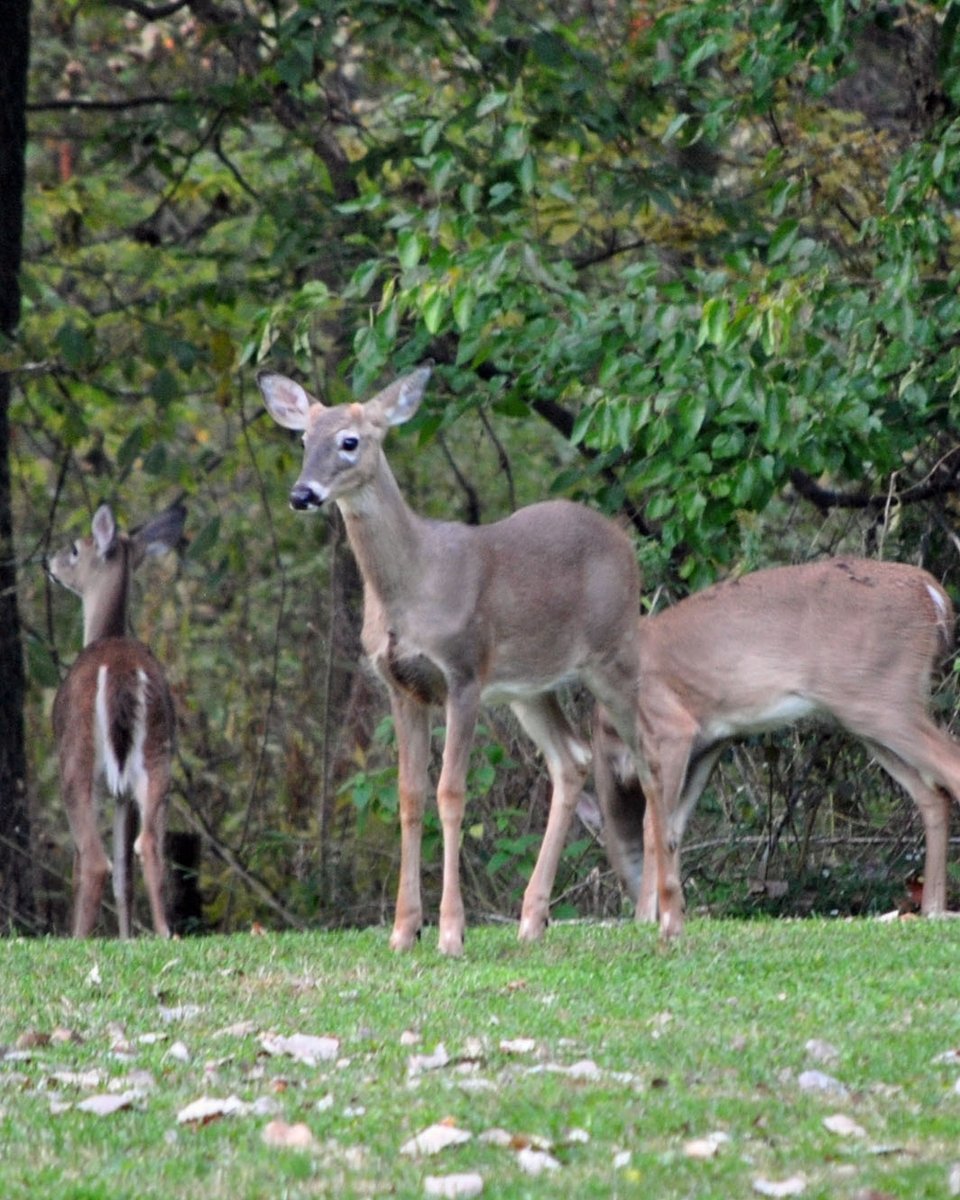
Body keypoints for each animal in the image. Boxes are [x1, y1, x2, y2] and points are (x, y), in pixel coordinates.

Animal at [48, 496, 186, 936]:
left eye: (76, 548)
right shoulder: (122, 794)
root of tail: (122, 674)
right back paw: (165, 934)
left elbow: (88, 866)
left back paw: (78, 938)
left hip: (77, 759)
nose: (49, 562)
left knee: (93, 860)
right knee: (149, 845)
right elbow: (125, 877)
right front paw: (127, 939)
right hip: (157, 754)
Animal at [254, 364, 676, 955]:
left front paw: (451, 931)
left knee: (647, 756)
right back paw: (532, 919)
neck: (412, 586)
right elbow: (409, 796)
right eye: (302, 439)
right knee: (572, 759)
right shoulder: (400, 685)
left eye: (350, 441)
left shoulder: (464, 673)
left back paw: (654, 913)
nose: (302, 493)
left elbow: (450, 792)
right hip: (531, 687)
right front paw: (403, 930)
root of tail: (626, 541)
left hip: (613, 655)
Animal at [592, 556, 960, 931]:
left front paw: (645, 917)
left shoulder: (673, 728)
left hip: (883, 697)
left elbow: (652, 825)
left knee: (951, 766)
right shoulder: (710, 742)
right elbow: (673, 827)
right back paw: (931, 907)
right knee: (932, 794)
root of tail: (932, 594)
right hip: (866, 714)